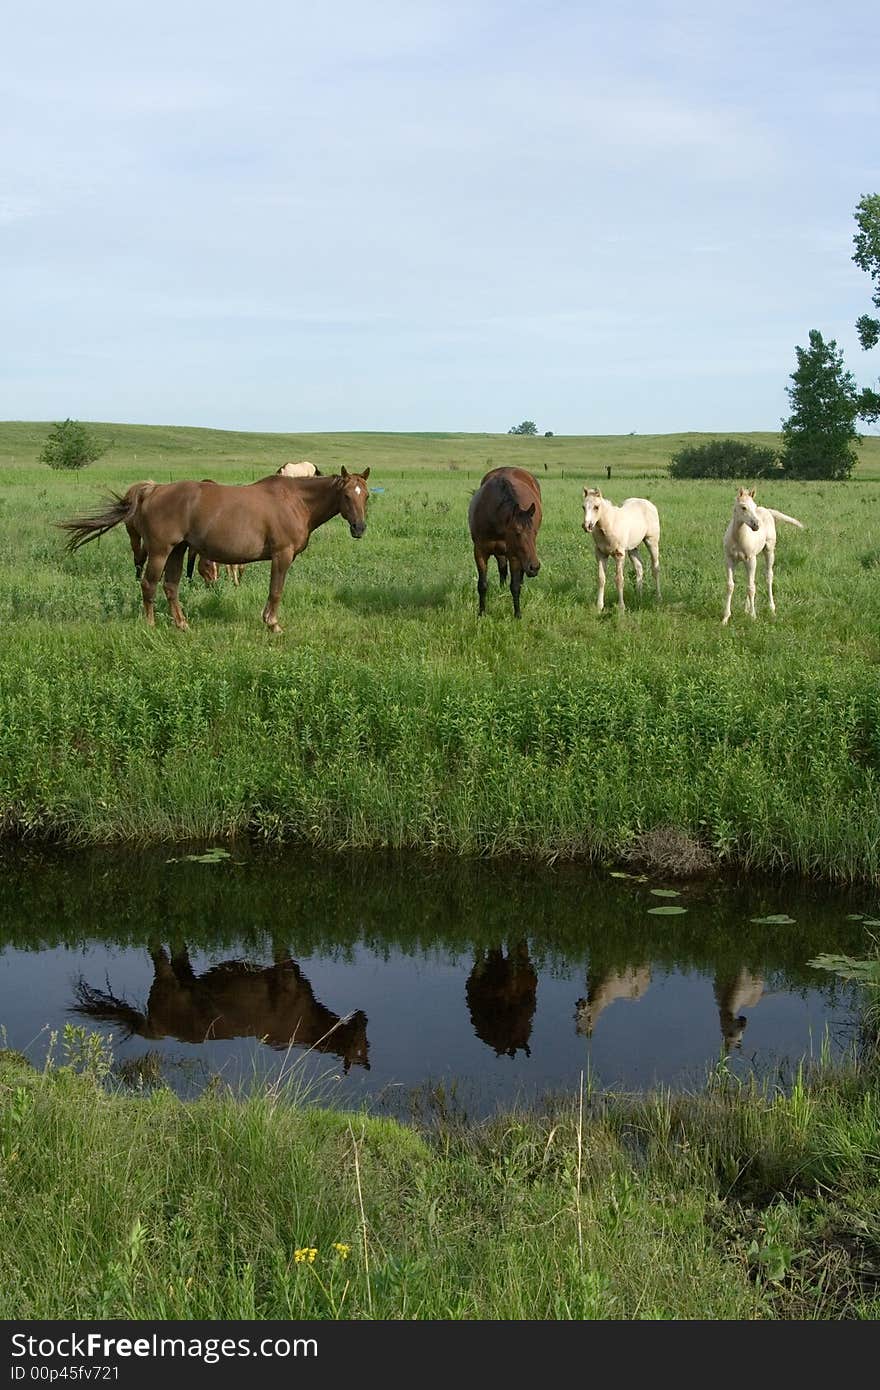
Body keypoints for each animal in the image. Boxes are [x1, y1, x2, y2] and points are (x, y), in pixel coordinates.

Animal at [58, 469, 367, 636]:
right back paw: (151, 624)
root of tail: (153, 490)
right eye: (346, 495)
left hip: (178, 550)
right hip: (160, 551)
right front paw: (273, 624)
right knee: (149, 584)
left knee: (171, 586)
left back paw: (182, 624)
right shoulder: (282, 555)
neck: (295, 501)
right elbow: (276, 591)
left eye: (365, 496)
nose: (359, 528)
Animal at [467, 467, 542, 619]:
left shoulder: (514, 555)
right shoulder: (479, 552)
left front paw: (517, 615)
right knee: (502, 568)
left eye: (534, 532)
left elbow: (515, 586)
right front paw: (481, 613)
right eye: (517, 532)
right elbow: (482, 585)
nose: (535, 567)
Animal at [722, 483, 800, 625]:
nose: (756, 525)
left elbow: (751, 588)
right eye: (743, 507)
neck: (738, 538)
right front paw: (725, 618)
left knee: (768, 576)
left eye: (754, 506)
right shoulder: (729, 559)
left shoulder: (751, 559)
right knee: (750, 580)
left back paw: (772, 609)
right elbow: (730, 586)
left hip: (768, 551)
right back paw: (746, 609)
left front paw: (753, 616)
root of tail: (767, 510)